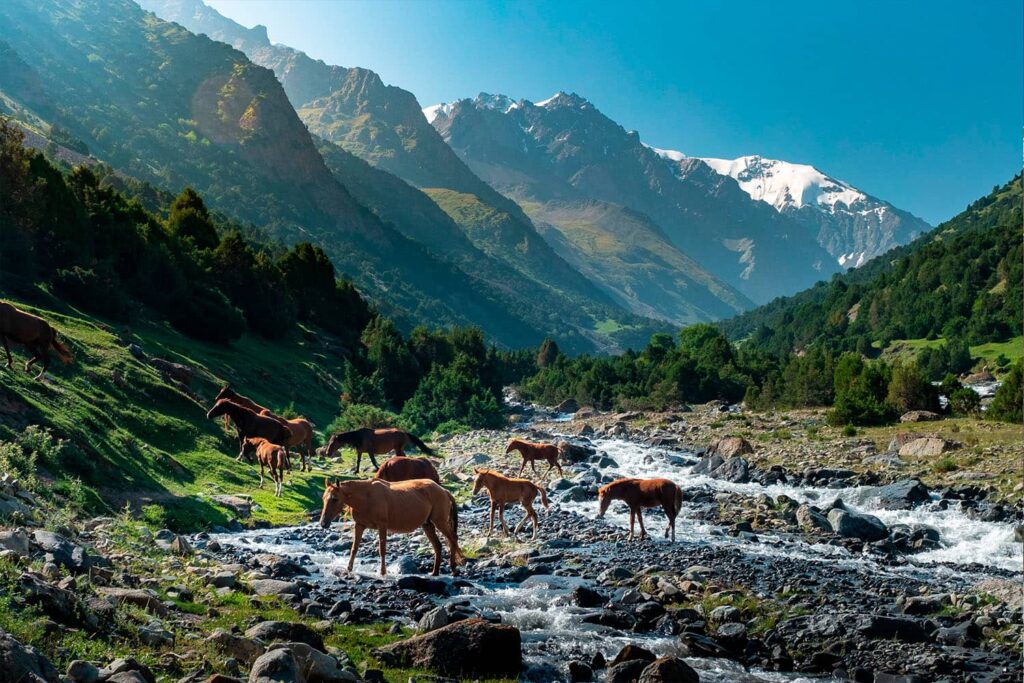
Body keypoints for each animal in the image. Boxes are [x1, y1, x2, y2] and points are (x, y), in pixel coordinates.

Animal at [319, 478, 464, 577]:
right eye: (323, 498)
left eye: (335, 499)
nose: (323, 523)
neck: (366, 497)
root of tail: (444, 490)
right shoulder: (359, 525)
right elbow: (354, 549)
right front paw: (348, 569)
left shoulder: (382, 526)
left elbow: (382, 550)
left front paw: (383, 572)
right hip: (427, 525)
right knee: (438, 545)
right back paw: (435, 572)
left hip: (440, 521)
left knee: (453, 539)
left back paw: (453, 569)